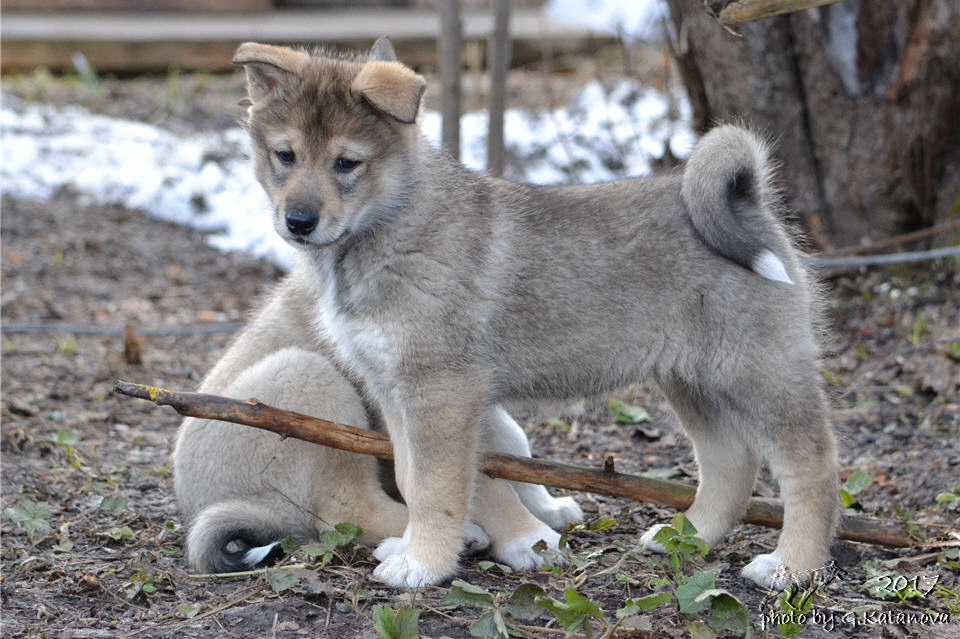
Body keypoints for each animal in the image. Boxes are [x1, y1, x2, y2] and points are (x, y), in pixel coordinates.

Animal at [232, 37, 840, 592]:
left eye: (347, 163)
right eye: (285, 156)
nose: (299, 221)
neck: (389, 228)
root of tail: (749, 200)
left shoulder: (439, 390)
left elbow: (435, 487)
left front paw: (424, 565)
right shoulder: (392, 390)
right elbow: (408, 476)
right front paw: (414, 548)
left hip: (759, 371)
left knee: (812, 465)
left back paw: (791, 566)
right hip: (694, 379)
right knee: (730, 464)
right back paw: (686, 535)